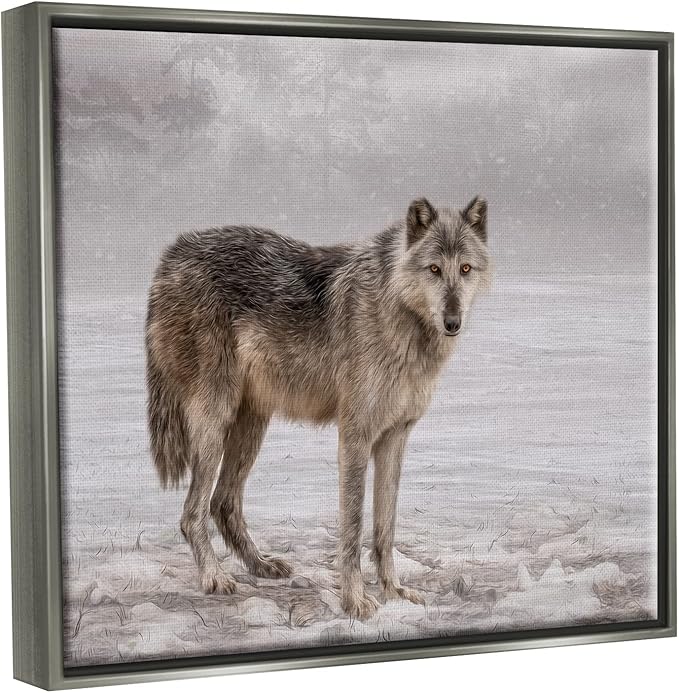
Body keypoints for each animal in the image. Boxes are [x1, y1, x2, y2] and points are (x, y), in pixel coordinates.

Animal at [145, 196, 490, 619]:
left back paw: (261, 566)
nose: (452, 321)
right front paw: (355, 601)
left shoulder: (395, 437)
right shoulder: (355, 435)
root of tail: (172, 254)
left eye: (465, 269)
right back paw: (214, 578)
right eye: (434, 269)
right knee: (192, 513)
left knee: (222, 503)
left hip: (252, 424)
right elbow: (353, 528)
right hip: (215, 421)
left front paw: (394, 592)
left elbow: (385, 529)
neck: (397, 314)